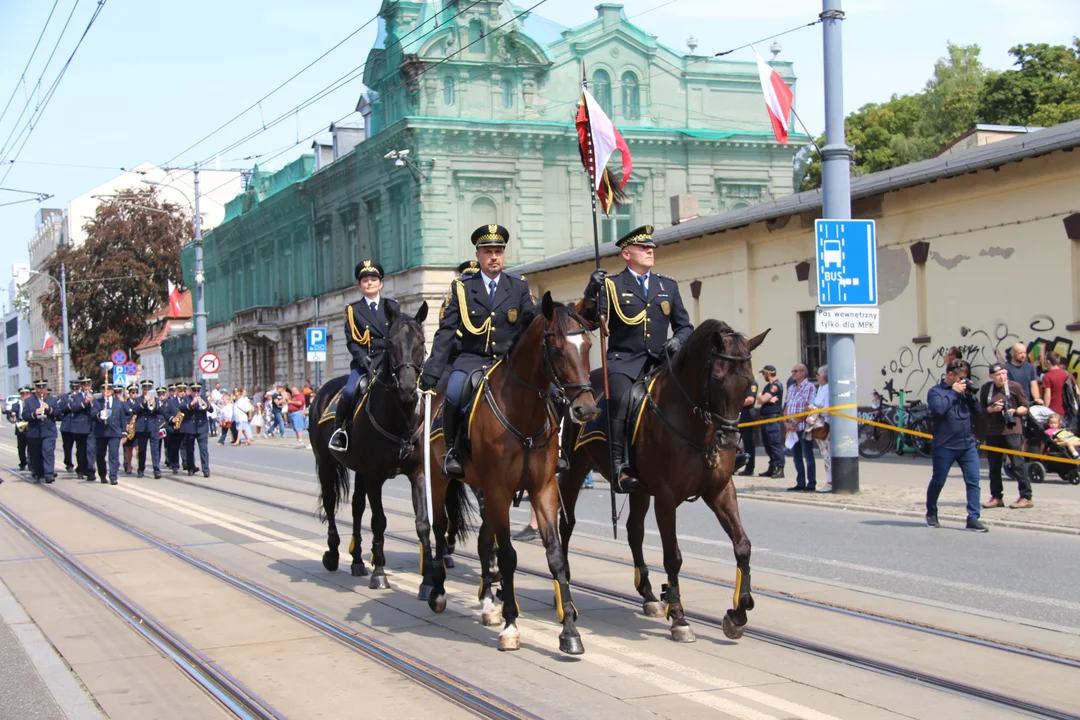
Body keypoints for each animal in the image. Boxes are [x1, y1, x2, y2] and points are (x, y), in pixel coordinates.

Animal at [308, 302, 442, 595]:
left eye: (421, 341)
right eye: (391, 343)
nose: (407, 387)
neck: (400, 417)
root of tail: (322, 390)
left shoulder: (417, 473)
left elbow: (423, 522)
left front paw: (428, 581)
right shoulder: (375, 476)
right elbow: (379, 520)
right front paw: (379, 572)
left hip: (357, 471)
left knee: (357, 507)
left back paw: (358, 561)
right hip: (326, 464)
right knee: (331, 503)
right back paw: (332, 554)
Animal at [412, 291, 600, 651]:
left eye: (587, 345)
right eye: (557, 348)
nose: (586, 409)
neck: (523, 412)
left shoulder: (543, 489)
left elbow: (555, 556)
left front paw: (570, 631)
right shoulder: (499, 489)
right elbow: (509, 556)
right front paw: (512, 624)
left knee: (484, 542)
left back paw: (488, 604)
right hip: (442, 482)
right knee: (441, 530)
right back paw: (438, 591)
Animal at [557, 319, 768, 643]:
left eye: (748, 384)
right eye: (716, 378)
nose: (730, 440)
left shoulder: (720, 491)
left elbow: (742, 545)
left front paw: (738, 612)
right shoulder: (667, 498)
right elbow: (673, 557)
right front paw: (679, 617)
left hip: (640, 490)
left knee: (634, 531)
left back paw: (648, 595)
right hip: (573, 472)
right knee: (567, 524)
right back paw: (566, 583)